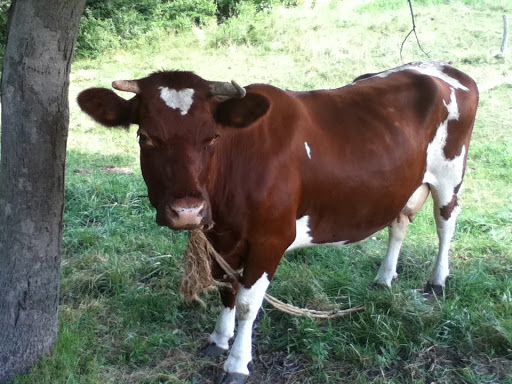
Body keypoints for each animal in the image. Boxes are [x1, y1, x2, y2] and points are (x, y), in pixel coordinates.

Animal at [78, 61, 478, 382]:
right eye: (144, 136)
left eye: (212, 137)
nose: (188, 211)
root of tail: (440, 68)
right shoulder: (222, 237)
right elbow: (226, 288)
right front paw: (218, 340)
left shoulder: (271, 239)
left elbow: (246, 303)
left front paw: (237, 363)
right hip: (402, 183)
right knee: (399, 222)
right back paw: (384, 279)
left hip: (449, 174)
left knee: (446, 221)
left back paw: (438, 280)